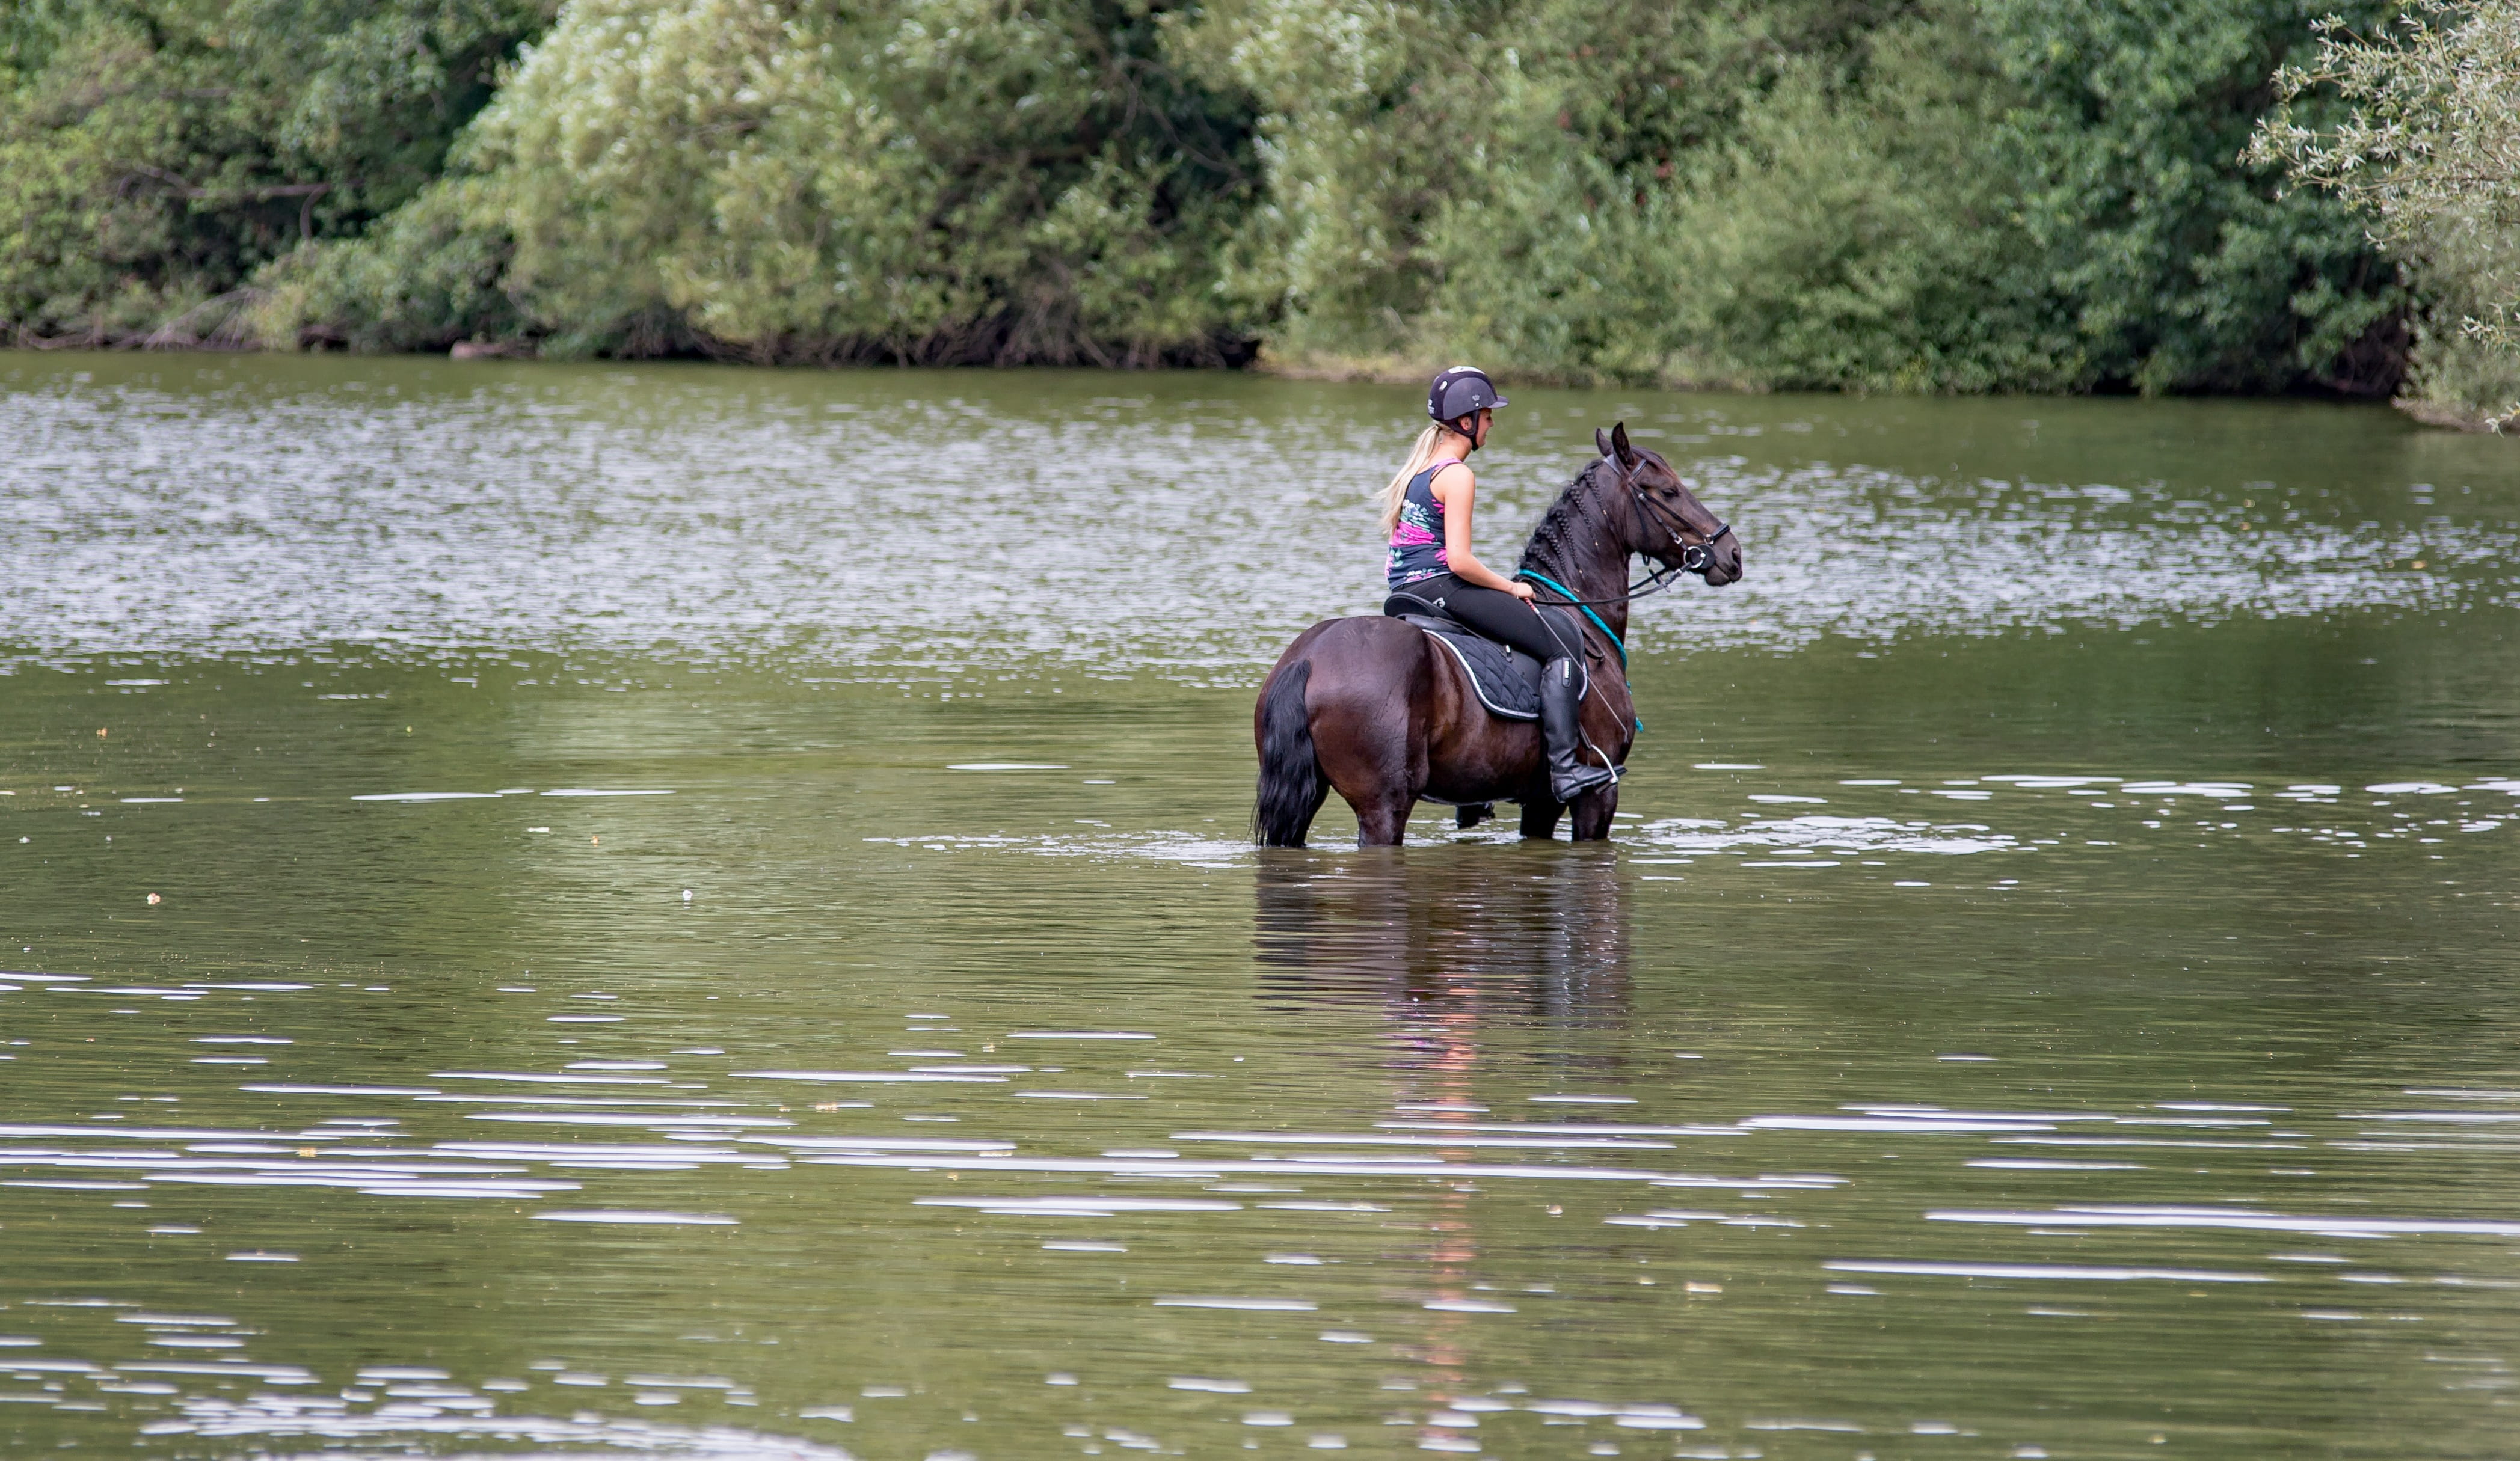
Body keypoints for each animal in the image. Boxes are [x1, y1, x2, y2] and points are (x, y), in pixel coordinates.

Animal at [1252, 422, 1742, 847]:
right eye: (1668, 491)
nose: (1732, 553)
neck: (1581, 615)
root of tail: (1309, 658)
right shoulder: (1597, 794)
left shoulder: (1540, 801)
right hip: (1384, 806)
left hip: (1307, 798)